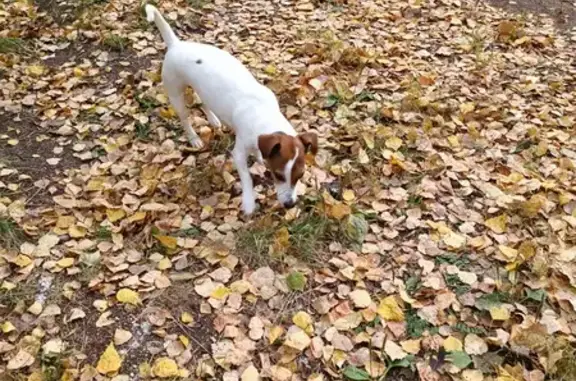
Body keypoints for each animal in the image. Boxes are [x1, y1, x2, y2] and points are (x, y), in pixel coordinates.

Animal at [143, 4, 316, 215]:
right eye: (279, 175)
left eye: (300, 175)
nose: (290, 204)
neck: (264, 116)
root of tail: (176, 44)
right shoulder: (239, 153)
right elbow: (247, 178)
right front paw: (249, 202)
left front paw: (260, 158)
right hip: (176, 94)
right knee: (184, 118)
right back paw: (194, 139)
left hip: (203, 89)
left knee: (204, 101)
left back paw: (213, 119)